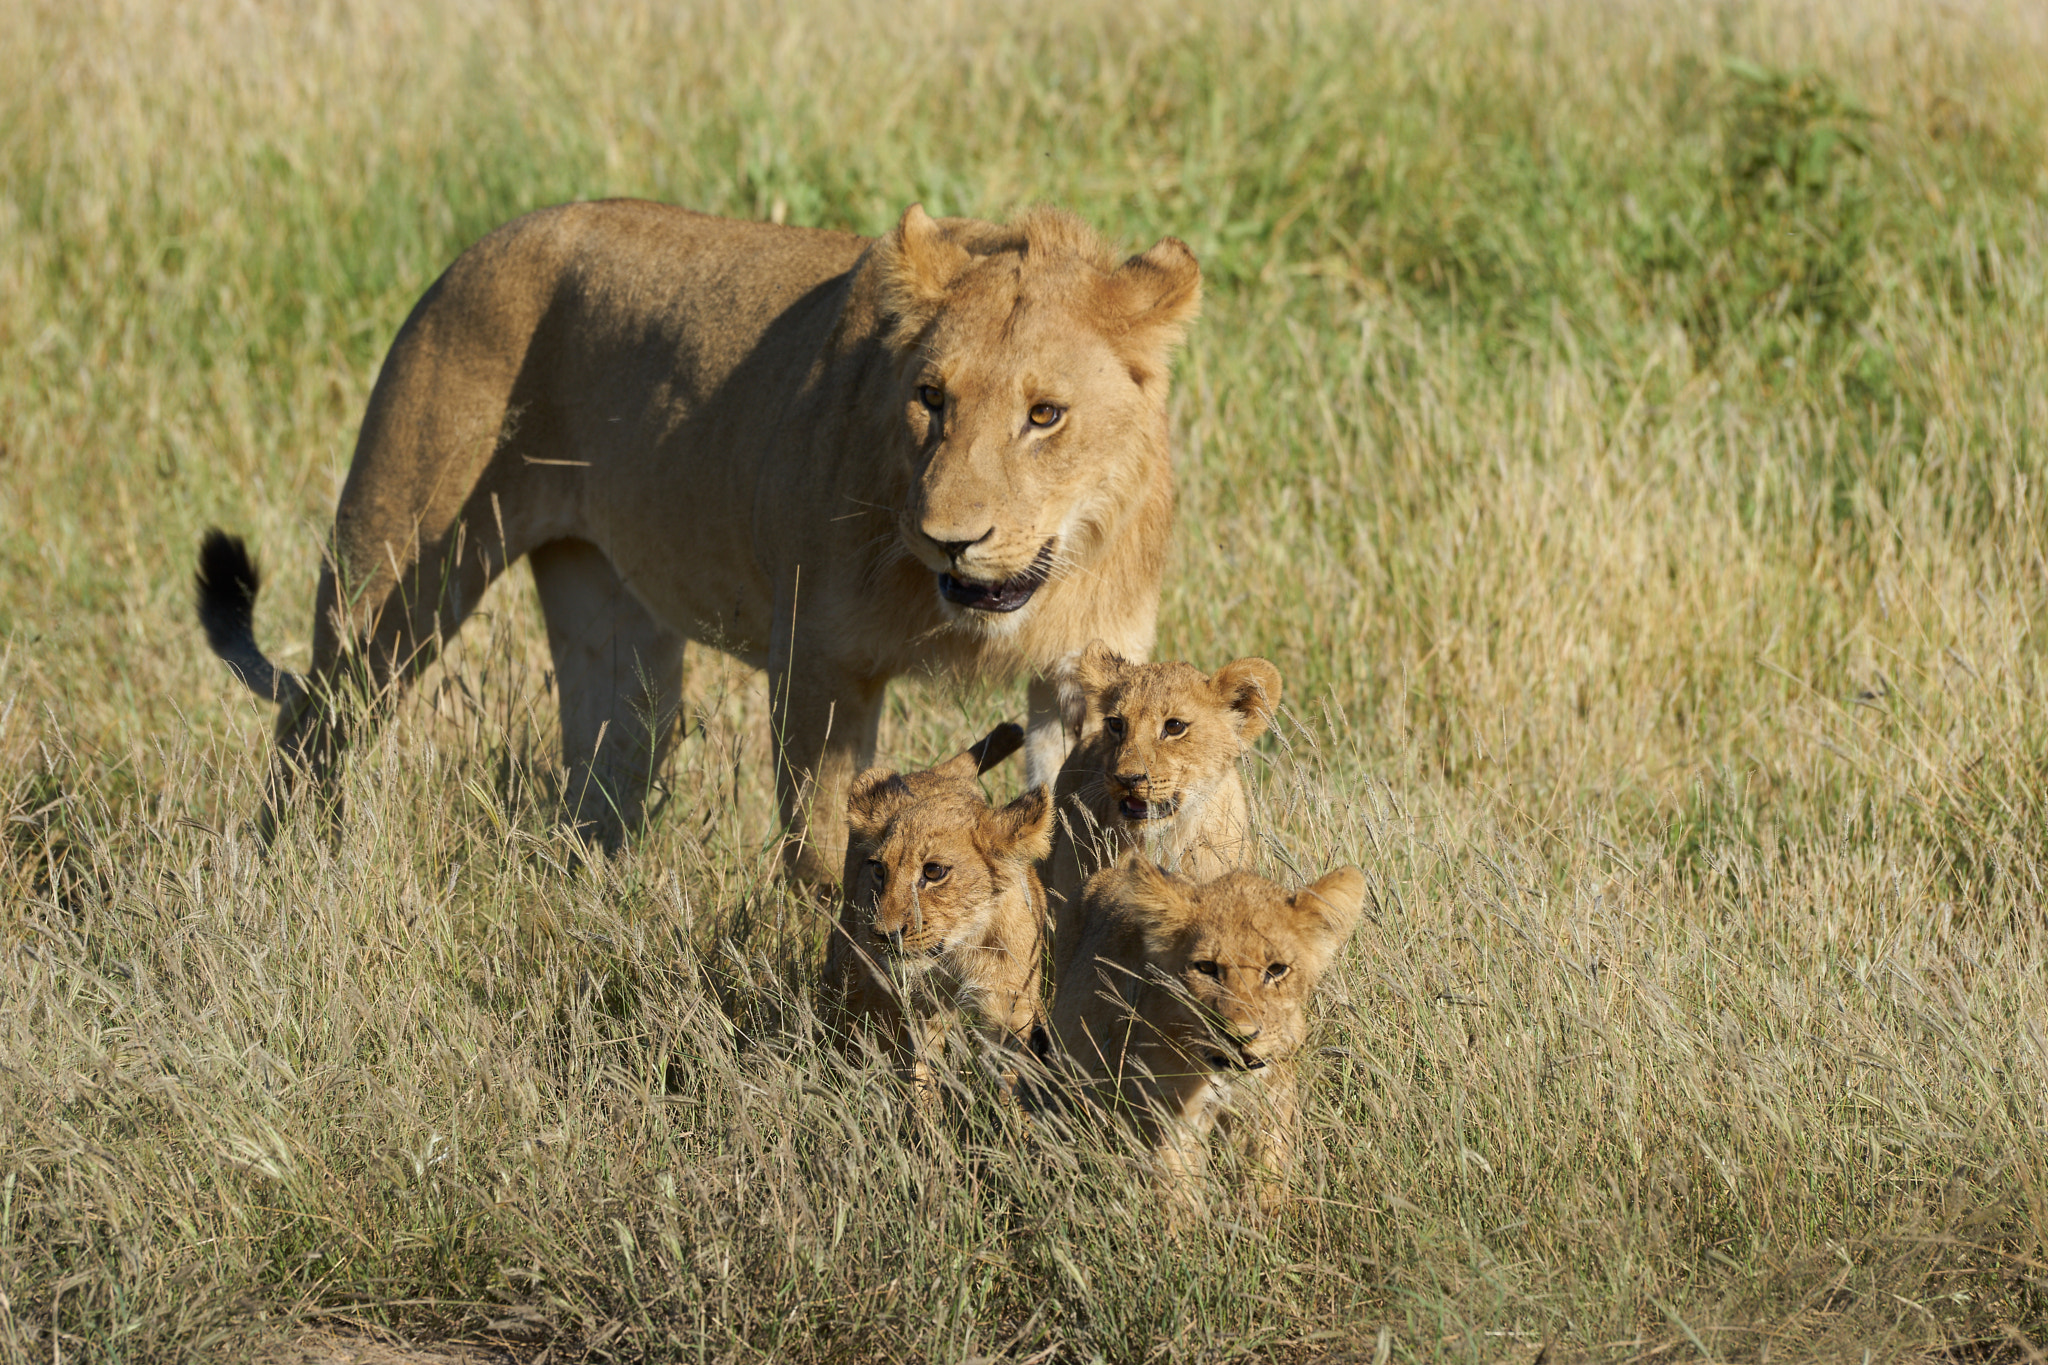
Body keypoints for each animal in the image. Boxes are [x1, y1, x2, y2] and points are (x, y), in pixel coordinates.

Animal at [192, 202, 1196, 888]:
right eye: (931, 398)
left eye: (1045, 415)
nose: (950, 540)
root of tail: (476, 249)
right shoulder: (818, 659)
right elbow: (822, 845)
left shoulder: (1078, 676)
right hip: (397, 559)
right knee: (315, 717)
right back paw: (292, 869)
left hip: (612, 621)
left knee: (600, 778)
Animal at [823, 716, 1056, 1113]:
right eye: (879, 870)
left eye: (933, 872)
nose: (884, 934)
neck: (961, 949)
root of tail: (938, 772)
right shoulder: (916, 1006)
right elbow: (919, 1070)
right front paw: (925, 1121)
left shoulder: (1011, 1003)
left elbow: (1014, 1074)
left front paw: (1015, 1125)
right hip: (852, 962)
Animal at [1040, 859, 1359, 1211]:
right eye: (1206, 967)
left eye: (1277, 970)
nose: (1240, 1036)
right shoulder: (1170, 1112)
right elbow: (1178, 1190)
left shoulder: (1270, 1104)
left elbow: (1266, 1177)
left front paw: (1266, 1219)